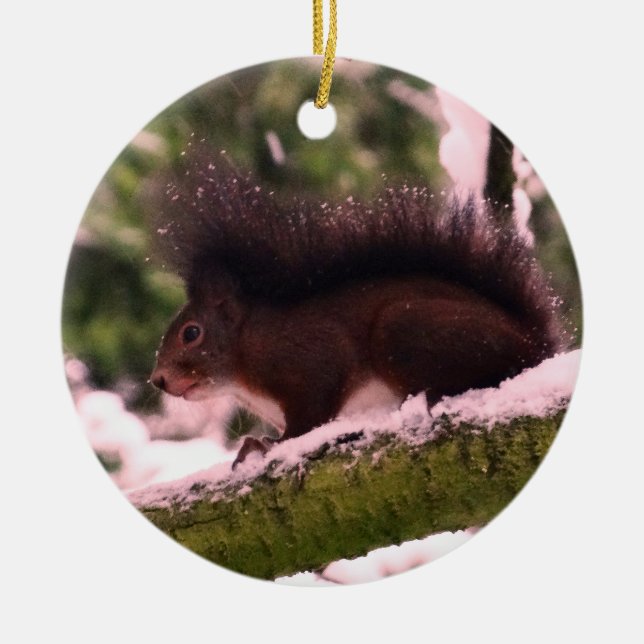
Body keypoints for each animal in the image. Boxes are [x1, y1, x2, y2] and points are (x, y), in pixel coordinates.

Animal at [149, 145, 565, 467]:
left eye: (191, 333)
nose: (158, 380)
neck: (244, 355)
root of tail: (534, 341)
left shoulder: (310, 359)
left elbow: (310, 417)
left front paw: (266, 445)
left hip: (402, 328)